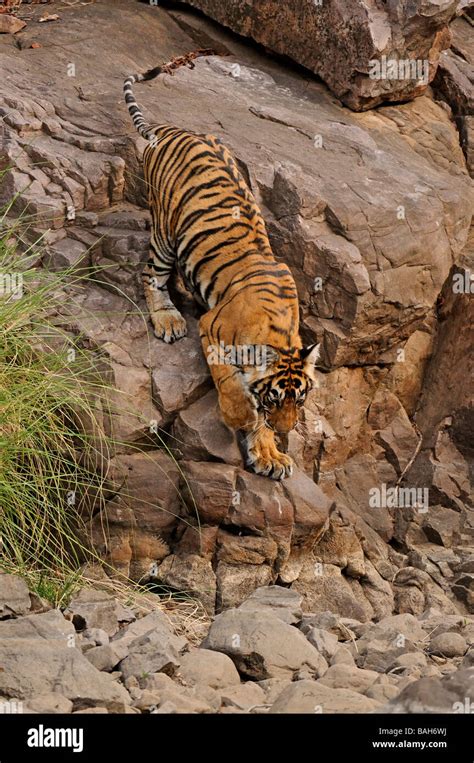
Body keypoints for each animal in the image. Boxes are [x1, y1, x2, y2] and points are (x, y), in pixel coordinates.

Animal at [123, 50, 322, 480]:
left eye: (299, 400)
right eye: (275, 398)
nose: (286, 431)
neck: (280, 334)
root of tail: (170, 128)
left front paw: (268, 454)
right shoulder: (212, 328)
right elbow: (231, 383)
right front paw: (241, 418)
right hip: (166, 231)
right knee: (151, 274)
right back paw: (168, 319)